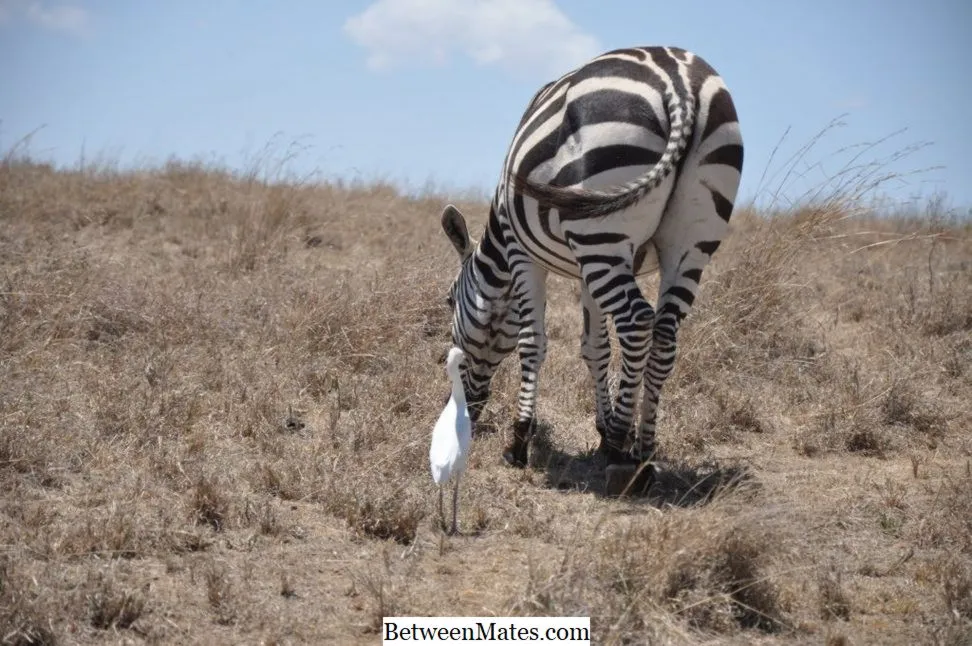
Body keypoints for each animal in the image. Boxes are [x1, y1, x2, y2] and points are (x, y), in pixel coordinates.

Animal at [440, 45, 744, 494]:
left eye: (448, 301)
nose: (469, 411)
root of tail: (679, 80)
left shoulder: (523, 254)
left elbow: (533, 342)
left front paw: (520, 440)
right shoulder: (588, 267)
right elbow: (595, 348)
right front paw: (603, 429)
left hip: (603, 223)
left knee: (637, 323)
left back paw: (621, 455)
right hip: (687, 242)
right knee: (664, 335)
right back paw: (643, 453)